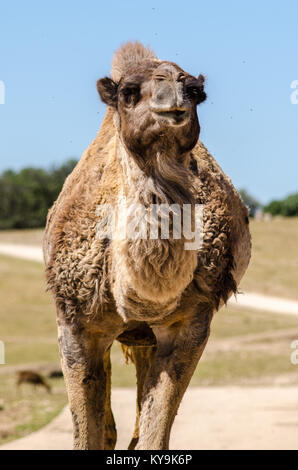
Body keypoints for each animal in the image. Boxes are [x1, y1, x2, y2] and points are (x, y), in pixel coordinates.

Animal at [43, 42, 250, 450]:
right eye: (128, 92)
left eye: (195, 91)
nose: (173, 97)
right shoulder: (75, 324)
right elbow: (87, 435)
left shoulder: (191, 321)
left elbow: (155, 435)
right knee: (109, 425)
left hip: (146, 337)